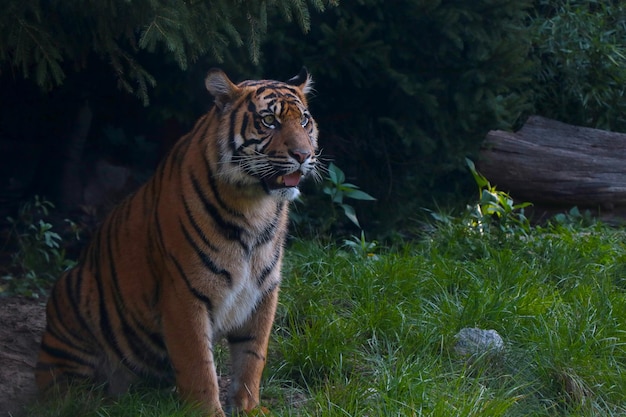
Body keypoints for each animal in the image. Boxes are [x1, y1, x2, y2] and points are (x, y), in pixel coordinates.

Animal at [35, 66, 316, 414]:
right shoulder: (185, 292)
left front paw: (249, 408)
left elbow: (252, 357)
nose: (304, 155)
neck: (256, 206)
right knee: (58, 388)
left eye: (303, 121)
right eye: (269, 121)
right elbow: (198, 364)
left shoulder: (263, 290)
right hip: (72, 295)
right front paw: (208, 411)